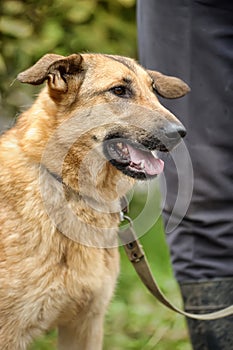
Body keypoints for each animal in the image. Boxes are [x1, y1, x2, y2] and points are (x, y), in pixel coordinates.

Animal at [0, 53, 189, 348]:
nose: (180, 133)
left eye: (154, 89)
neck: (68, 188)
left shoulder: (86, 324)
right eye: (119, 91)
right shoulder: (10, 333)